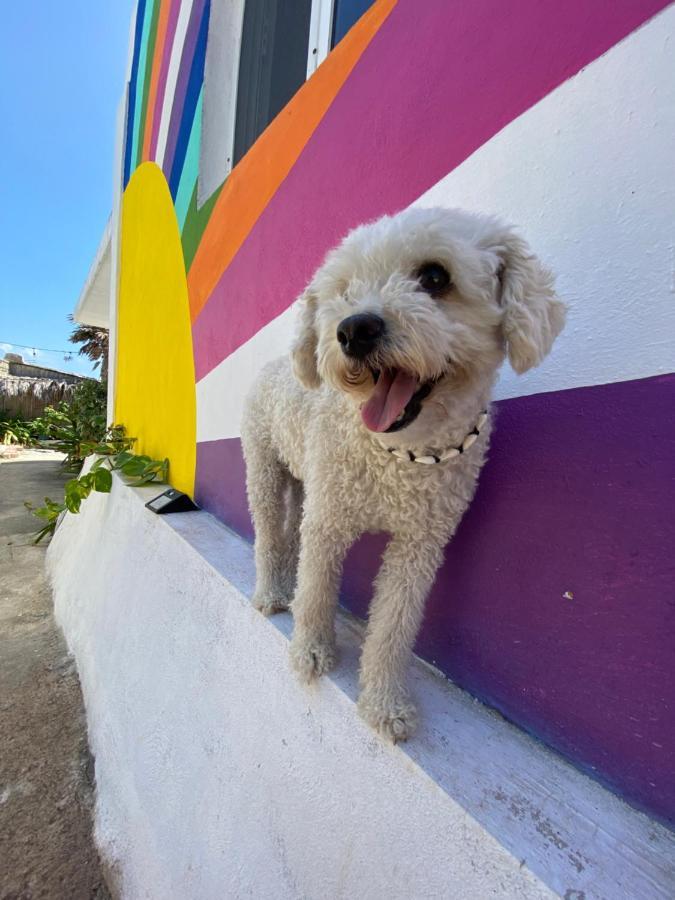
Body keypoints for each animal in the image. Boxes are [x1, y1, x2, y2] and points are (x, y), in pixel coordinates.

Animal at [243, 207, 564, 740]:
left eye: (435, 277)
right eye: (344, 290)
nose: (353, 329)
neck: (401, 457)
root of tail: (273, 363)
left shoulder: (420, 544)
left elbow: (394, 627)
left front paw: (385, 704)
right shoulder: (328, 520)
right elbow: (317, 589)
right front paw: (310, 652)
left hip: (302, 479)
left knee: (290, 535)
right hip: (264, 470)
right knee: (269, 532)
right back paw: (271, 592)